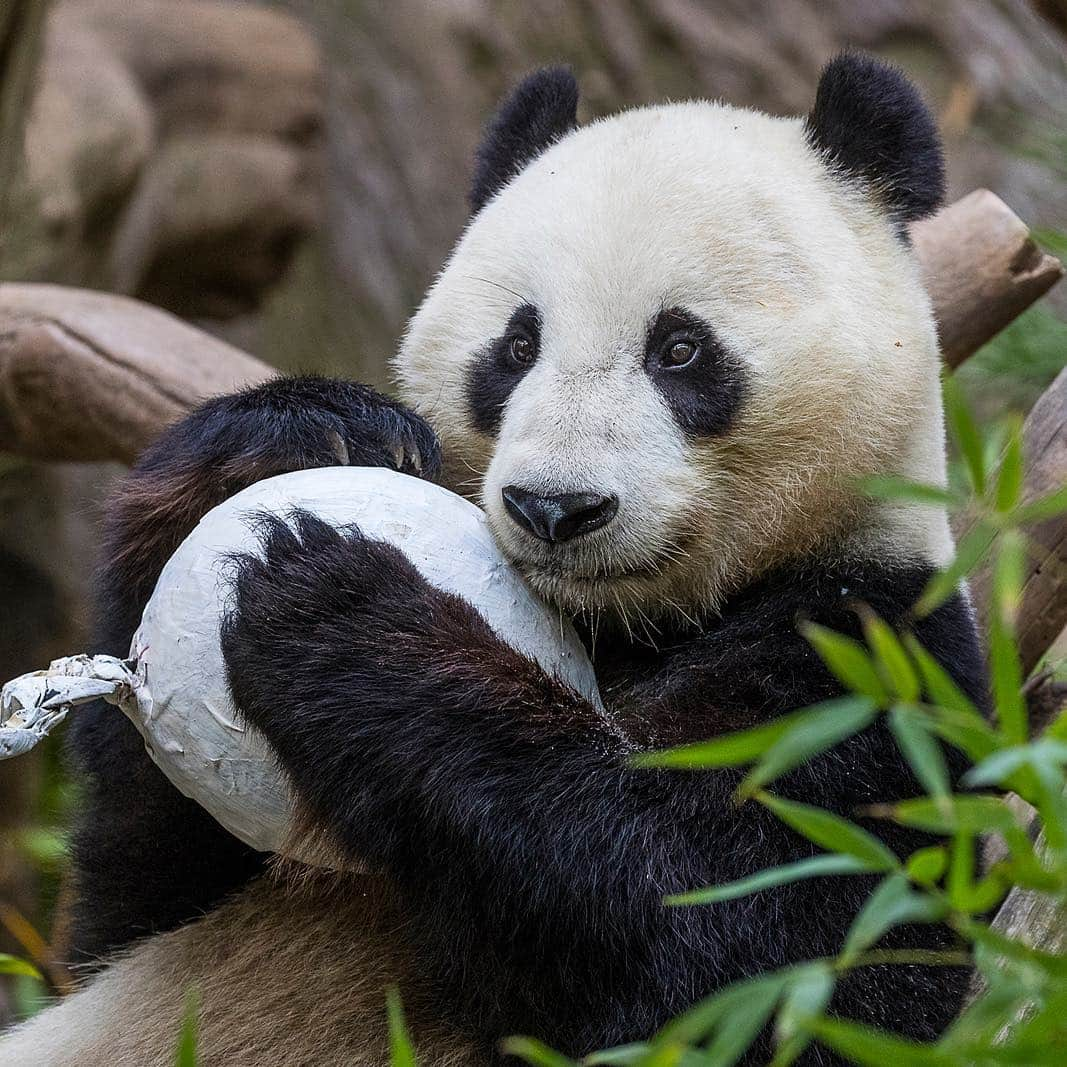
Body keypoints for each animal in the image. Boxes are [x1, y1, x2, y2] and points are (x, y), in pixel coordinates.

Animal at [0, 54, 985, 1062]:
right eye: (516, 344)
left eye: (679, 348)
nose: (555, 507)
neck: (632, 627)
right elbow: (127, 899)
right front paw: (292, 437)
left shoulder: (868, 671)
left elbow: (735, 951)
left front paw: (340, 611)